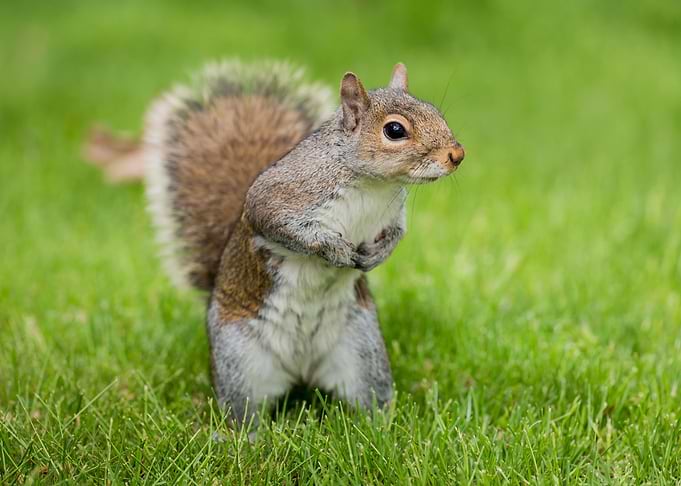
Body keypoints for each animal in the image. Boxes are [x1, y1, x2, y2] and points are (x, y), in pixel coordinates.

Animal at [85, 60, 464, 428]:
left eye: (436, 112)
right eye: (395, 130)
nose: (457, 154)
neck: (374, 185)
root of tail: (301, 370)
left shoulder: (392, 216)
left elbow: (397, 234)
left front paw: (376, 256)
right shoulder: (280, 196)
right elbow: (283, 225)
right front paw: (333, 248)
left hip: (363, 353)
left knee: (368, 398)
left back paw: (381, 427)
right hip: (240, 363)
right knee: (244, 411)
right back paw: (244, 438)